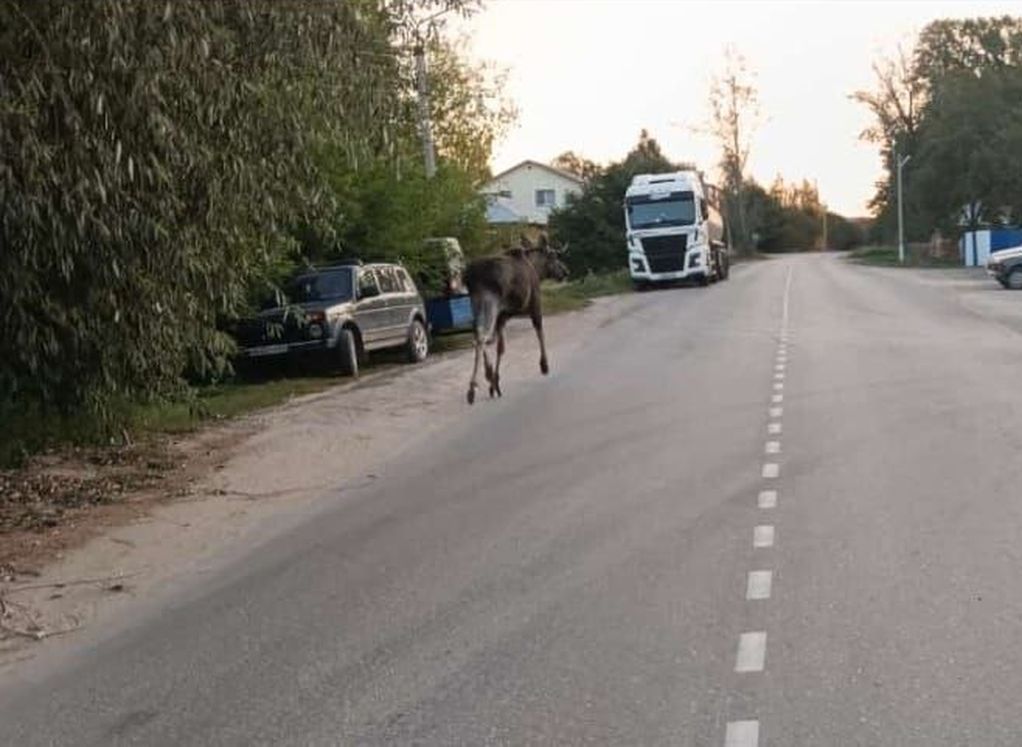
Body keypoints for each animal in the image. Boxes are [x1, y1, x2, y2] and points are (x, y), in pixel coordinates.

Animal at [468, 237, 572, 406]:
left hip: (476, 307)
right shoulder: (535, 304)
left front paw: (495, 383)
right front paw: (544, 365)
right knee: (482, 337)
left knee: (477, 335)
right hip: (490, 304)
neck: (536, 268)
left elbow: (501, 348)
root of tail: (472, 275)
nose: (565, 272)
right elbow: (540, 331)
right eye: (554, 257)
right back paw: (472, 387)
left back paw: (487, 375)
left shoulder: (502, 317)